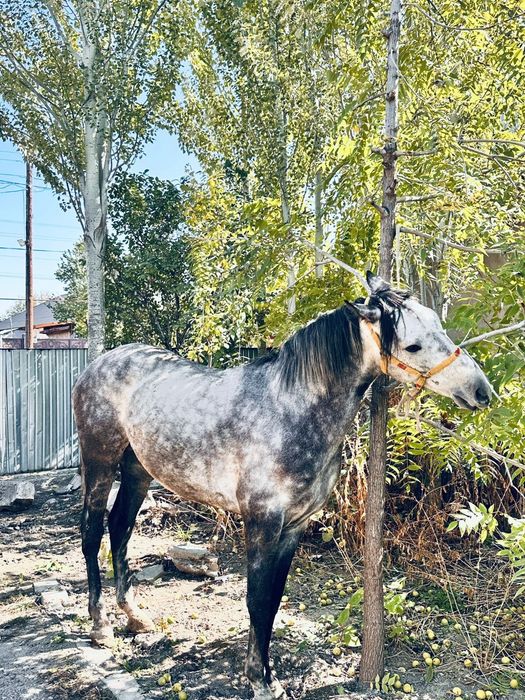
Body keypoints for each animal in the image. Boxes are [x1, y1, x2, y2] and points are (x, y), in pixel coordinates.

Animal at [73, 272, 491, 700]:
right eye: (413, 345)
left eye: (439, 325)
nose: (481, 390)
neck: (291, 410)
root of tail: (100, 363)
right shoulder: (261, 522)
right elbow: (256, 601)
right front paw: (259, 682)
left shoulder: (294, 526)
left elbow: (273, 602)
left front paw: (269, 676)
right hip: (99, 462)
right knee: (92, 533)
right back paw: (100, 626)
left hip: (138, 471)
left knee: (120, 528)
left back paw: (135, 617)